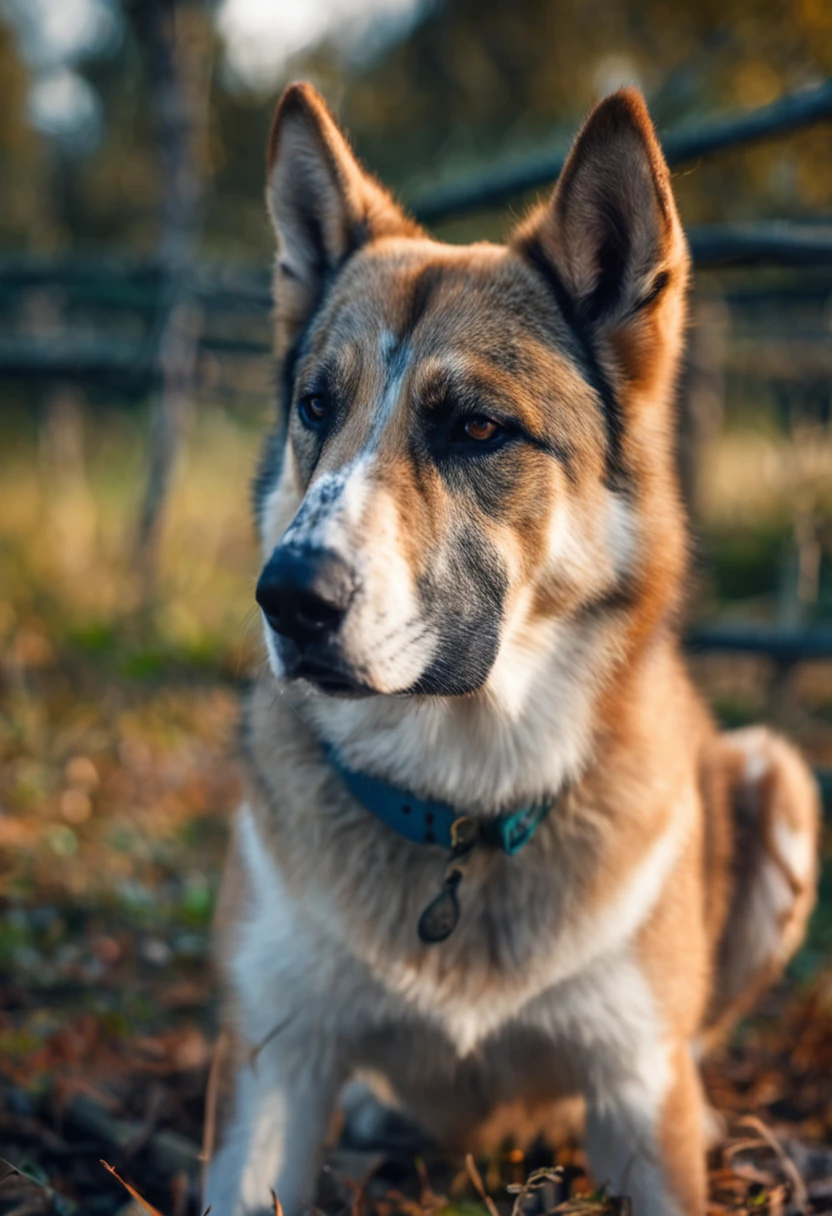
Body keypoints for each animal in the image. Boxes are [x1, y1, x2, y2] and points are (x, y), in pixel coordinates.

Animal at [206, 85, 817, 1216]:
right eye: (316, 406)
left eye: (478, 428)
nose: (289, 597)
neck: (464, 802)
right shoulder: (276, 1066)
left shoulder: (632, 1090)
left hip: (779, 776)